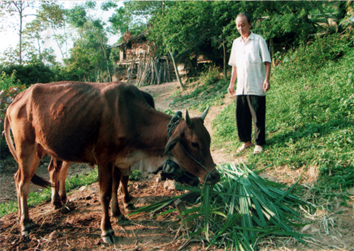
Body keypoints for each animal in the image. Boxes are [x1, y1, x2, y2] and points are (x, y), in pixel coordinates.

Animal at [4, 81, 220, 243]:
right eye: (194, 143)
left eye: (209, 140)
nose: (215, 175)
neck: (130, 116)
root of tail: (15, 100)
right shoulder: (104, 159)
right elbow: (105, 194)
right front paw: (107, 229)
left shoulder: (120, 161)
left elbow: (117, 187)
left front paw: (119, 214)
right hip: (27, 151)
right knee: (23, 184)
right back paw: (25, 223)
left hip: (49, 150)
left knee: (34, 176)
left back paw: (47, 208)